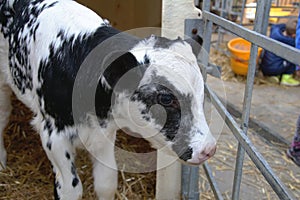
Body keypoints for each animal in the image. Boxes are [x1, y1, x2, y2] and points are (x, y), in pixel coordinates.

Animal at [0, 0, 216, 199]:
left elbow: (106, 183)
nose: (209, 149)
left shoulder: (103, 133)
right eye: (165, 98)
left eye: (201, 92)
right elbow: (71, 189)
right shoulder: (53, 135)